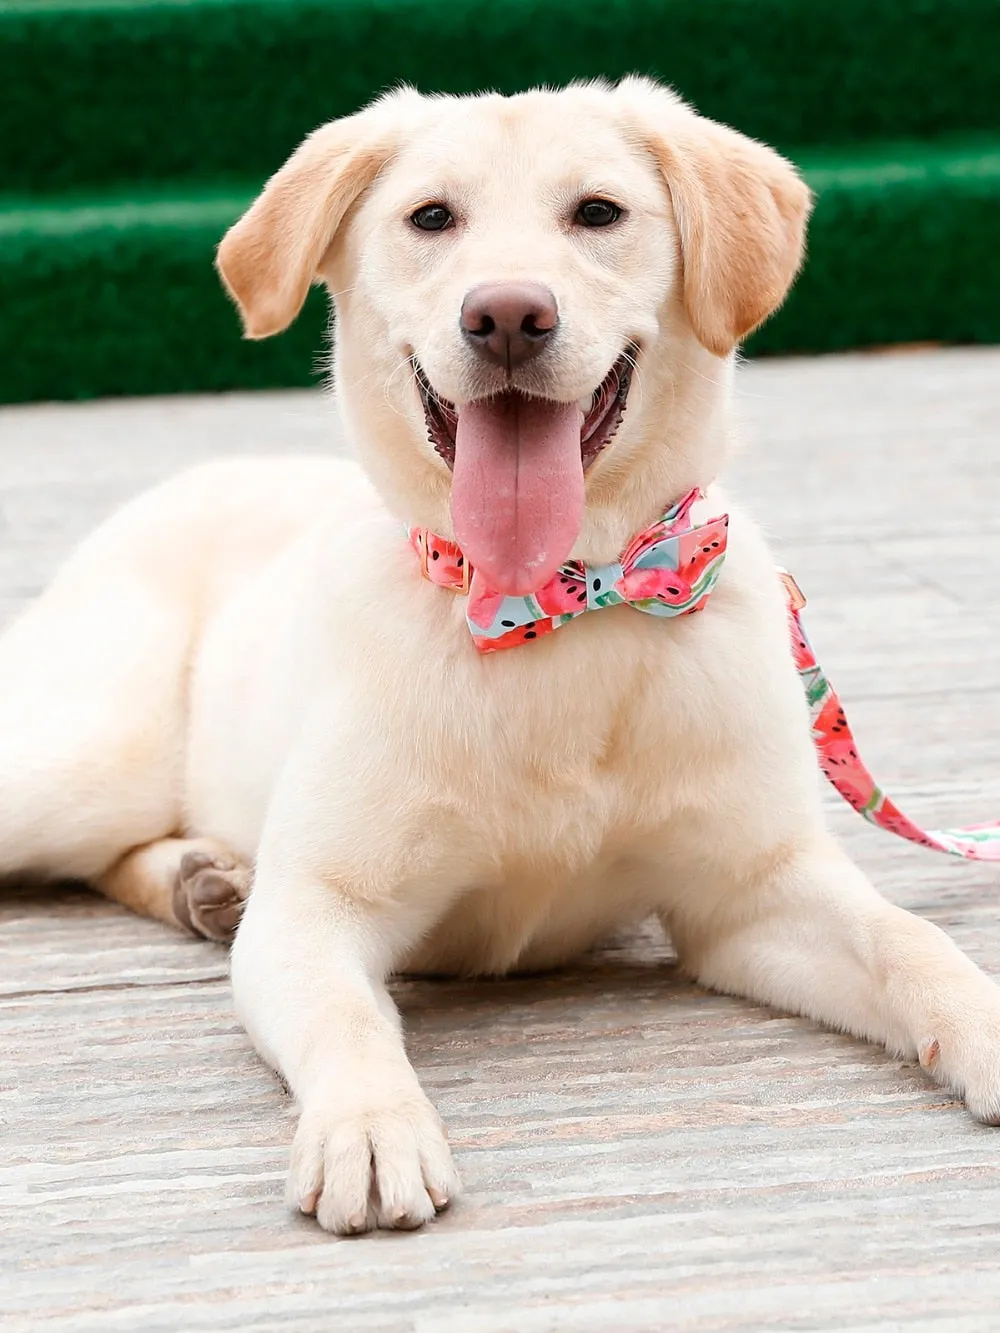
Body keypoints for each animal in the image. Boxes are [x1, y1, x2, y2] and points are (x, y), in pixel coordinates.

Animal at [1, 77, 1000, 1231]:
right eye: (431, 217)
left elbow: (912, 941)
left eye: (598, 213)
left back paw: (200, 879)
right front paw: (371, 1126)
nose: (509, 315)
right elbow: (349, 1018)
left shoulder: (749, 897)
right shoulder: (317, 911)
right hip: (85, 760)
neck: (555, 605)